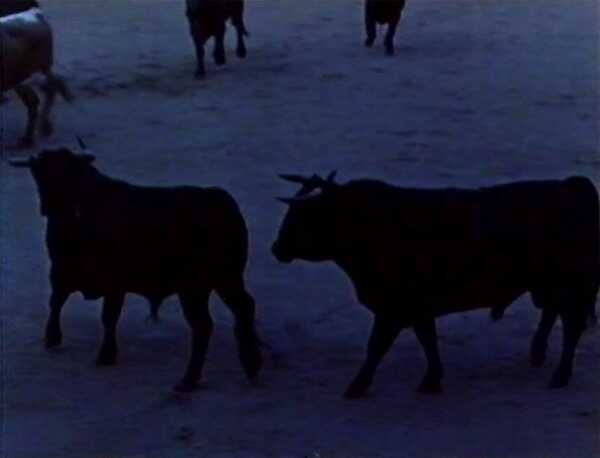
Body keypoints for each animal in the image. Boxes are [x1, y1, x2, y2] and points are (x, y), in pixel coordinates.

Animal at [274, 174, 600, 398]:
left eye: (303, 217)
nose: (276, 248)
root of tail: (574, 185)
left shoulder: (394, 307)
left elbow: (376, 347)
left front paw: (356, 386)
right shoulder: (417, 308)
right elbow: (427, 341)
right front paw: (432, 379)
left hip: (570, 287)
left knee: (571, 328)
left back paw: (560, 375)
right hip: (550, 287)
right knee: (552, 315)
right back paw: (538, 355)